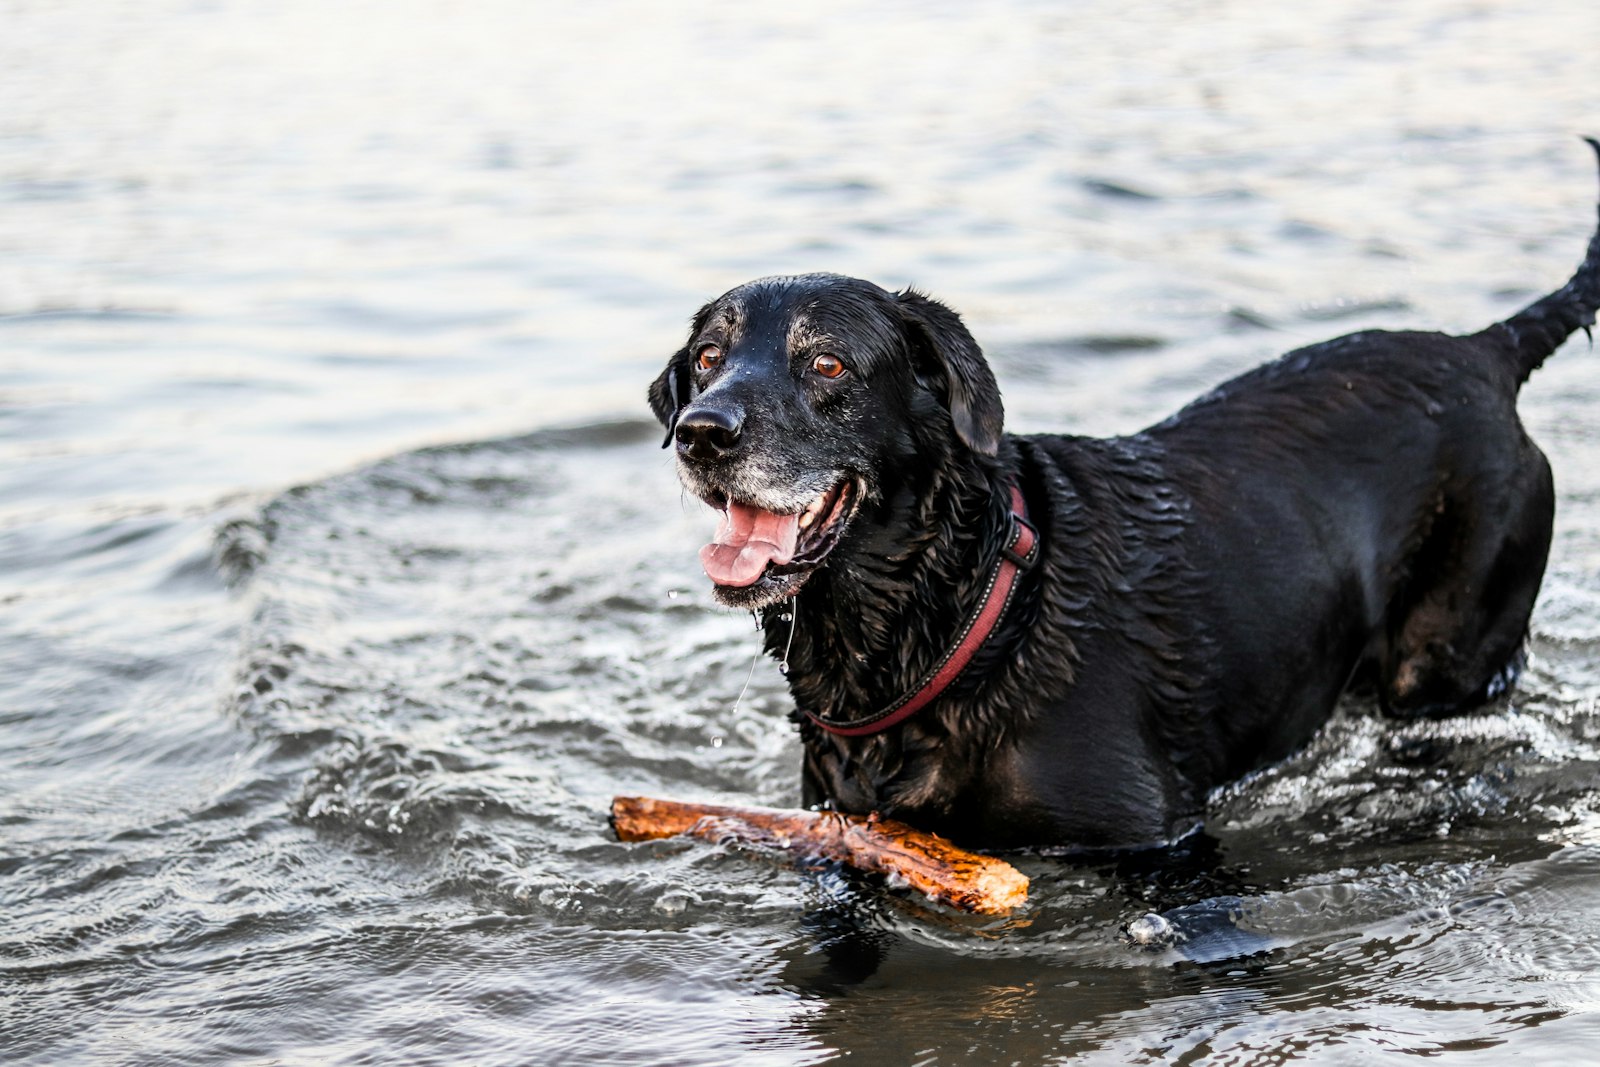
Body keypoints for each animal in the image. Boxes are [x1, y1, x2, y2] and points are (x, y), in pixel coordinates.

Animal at [643, 146, 1593, 857]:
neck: (961, 611)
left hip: (1449, 653)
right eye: (706, 359)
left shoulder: (1159, 838)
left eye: (827, 363)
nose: (701, 432)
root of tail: (1486, 351)